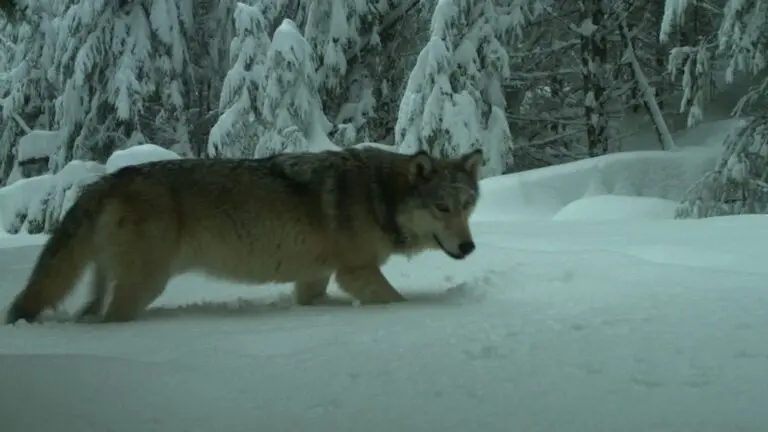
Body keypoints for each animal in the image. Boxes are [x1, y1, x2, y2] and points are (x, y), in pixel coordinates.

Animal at [4, 146, 484, 324]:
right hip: (144, 285)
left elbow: (312, 301)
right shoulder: (357, 272)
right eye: (442, 208)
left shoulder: (314, 278)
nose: (468, 247)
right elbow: (396, 301)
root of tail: (108, 180)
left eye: (468, 206)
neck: (377, 195)